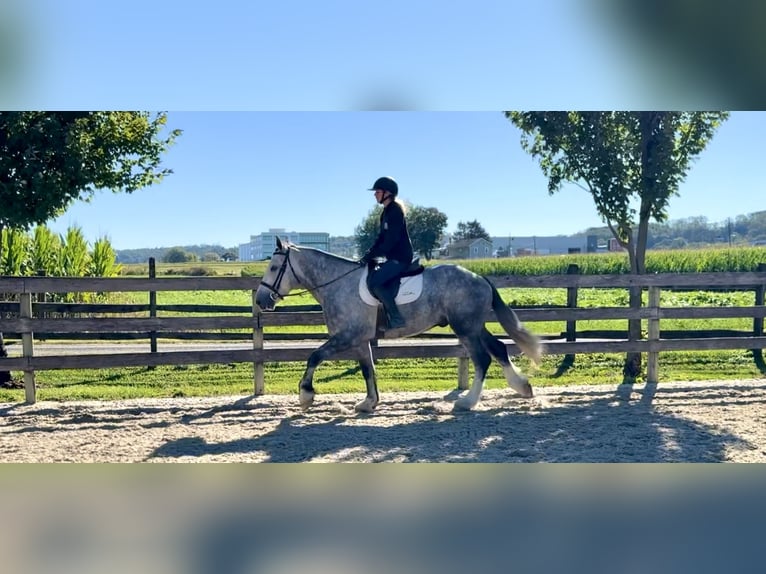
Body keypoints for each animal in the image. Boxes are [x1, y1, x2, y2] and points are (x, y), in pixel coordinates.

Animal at [254, 238, 542, 413]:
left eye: (274, 267)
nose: (260, 300)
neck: (337, 283)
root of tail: (479, 277)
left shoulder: (347, 336)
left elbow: (314, 356)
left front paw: (306, 395)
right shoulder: (360, 340)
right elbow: (367, 369)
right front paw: (369, 403)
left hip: (466, 329)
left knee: (483, 358)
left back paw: (468, 401)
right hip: (473, 326)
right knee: (499, 348)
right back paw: (522, 387)